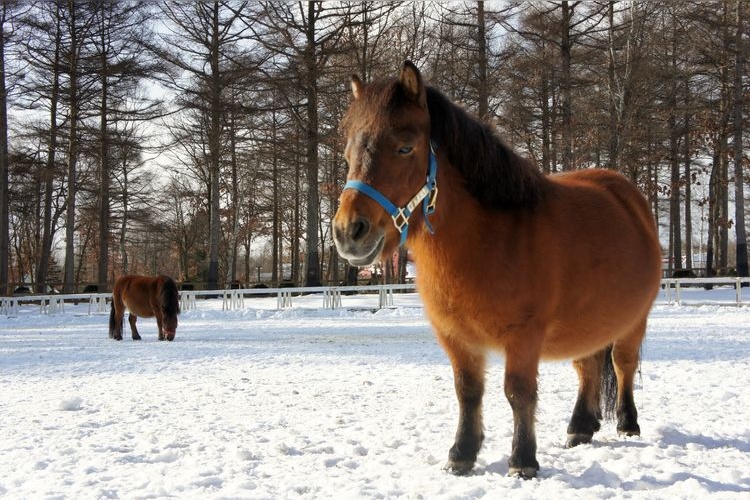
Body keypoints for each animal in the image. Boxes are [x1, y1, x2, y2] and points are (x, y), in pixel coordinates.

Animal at [332, 61, 662, 478]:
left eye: (405, 148)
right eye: (348, 153)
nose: (348, 232)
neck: (490, 240)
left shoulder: (523, 337)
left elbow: (518, 392)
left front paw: (522, 461)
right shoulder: (455, 337)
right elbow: (468, 391)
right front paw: (461, 455)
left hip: (635, 319)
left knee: (622, 364)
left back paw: (627, 423)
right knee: (587, 366)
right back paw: (580, 428)